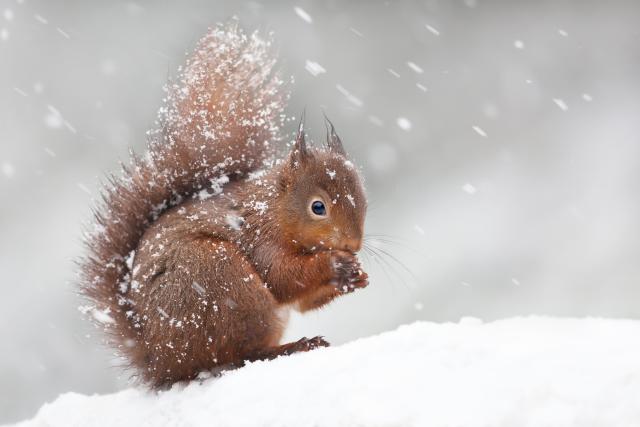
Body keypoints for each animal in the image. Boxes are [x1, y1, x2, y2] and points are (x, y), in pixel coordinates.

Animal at [80, 22, 369, 387]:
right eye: (318, 207)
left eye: (364, 200)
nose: (353, 244)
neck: (274, 210)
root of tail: (160, 363)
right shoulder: (260, 238)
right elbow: (282, 277)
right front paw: (335, 265)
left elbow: (303, 302)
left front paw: (356, 275)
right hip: (223, 281)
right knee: (241, 355)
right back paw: (295, 346)